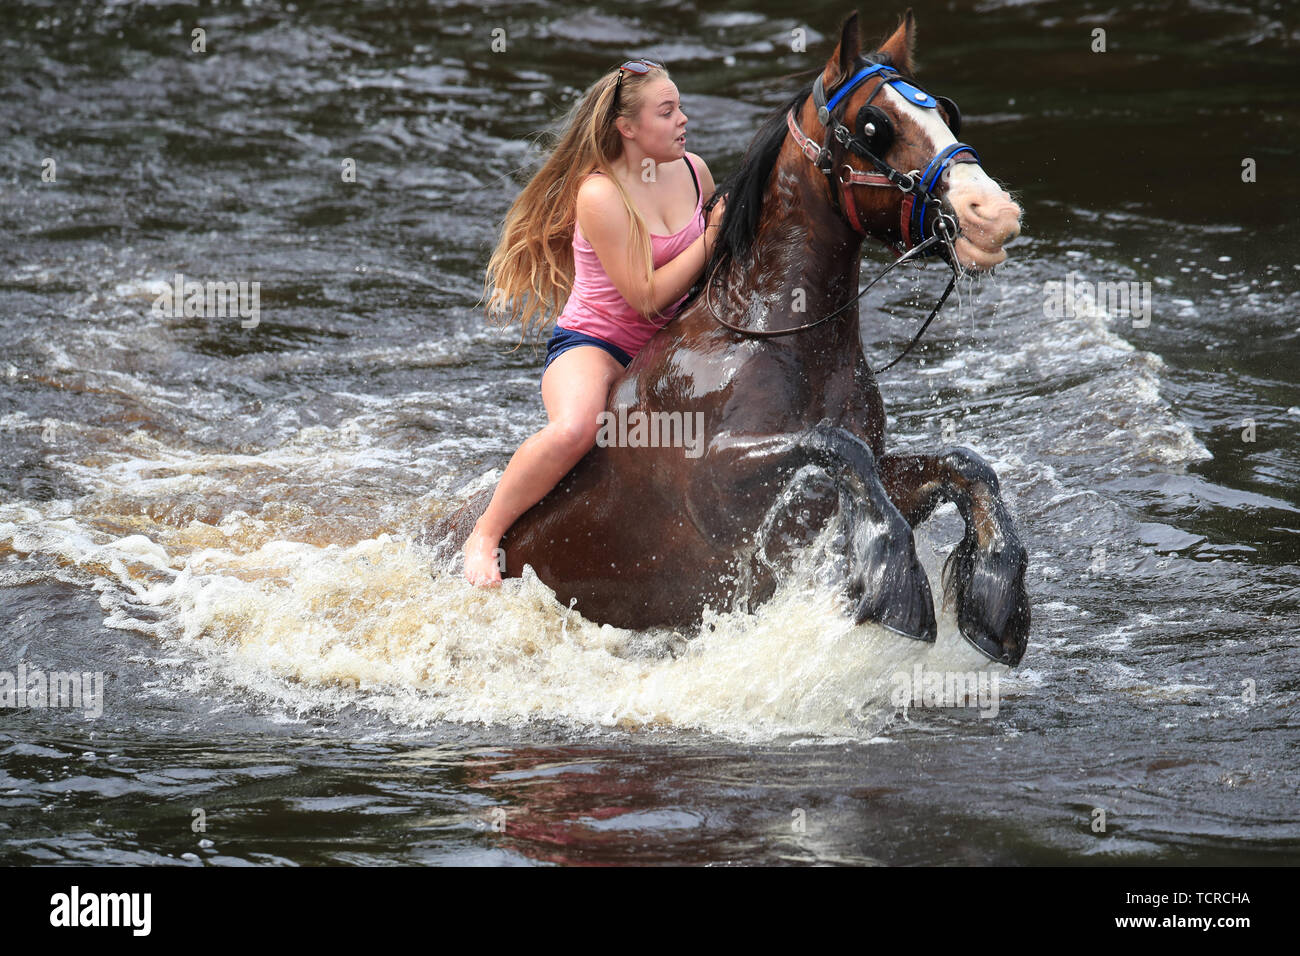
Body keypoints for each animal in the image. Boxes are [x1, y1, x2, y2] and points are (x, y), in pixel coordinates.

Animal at [433, 9, 1030, 666]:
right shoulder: (723, 486)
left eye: (947, 112)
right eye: (874, 125)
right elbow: (833, 443)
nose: (995, 214)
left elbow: (963, 464)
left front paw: (995, 604)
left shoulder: (870, 476)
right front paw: (898, 591)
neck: (773, 337)